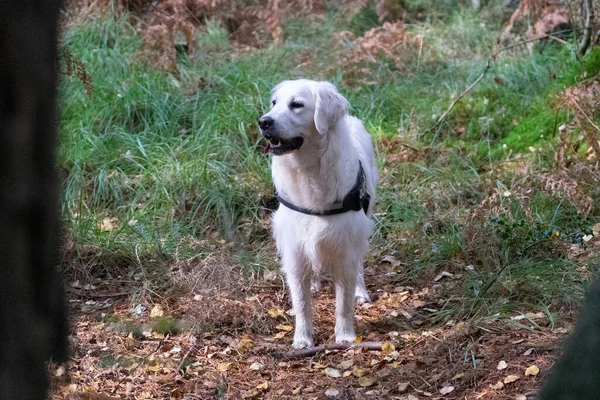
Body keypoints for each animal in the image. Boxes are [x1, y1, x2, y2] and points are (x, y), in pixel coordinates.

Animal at [258, 79, 380, 348]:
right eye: (274, 103)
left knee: (359, 266)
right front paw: (302, 339)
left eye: (297, 104)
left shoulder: (346, 246)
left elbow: (343, 302)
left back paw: (360, 292)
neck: (309, 172)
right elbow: (303, 304)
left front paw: (345, 336)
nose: (263, 122)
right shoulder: (294, 250)